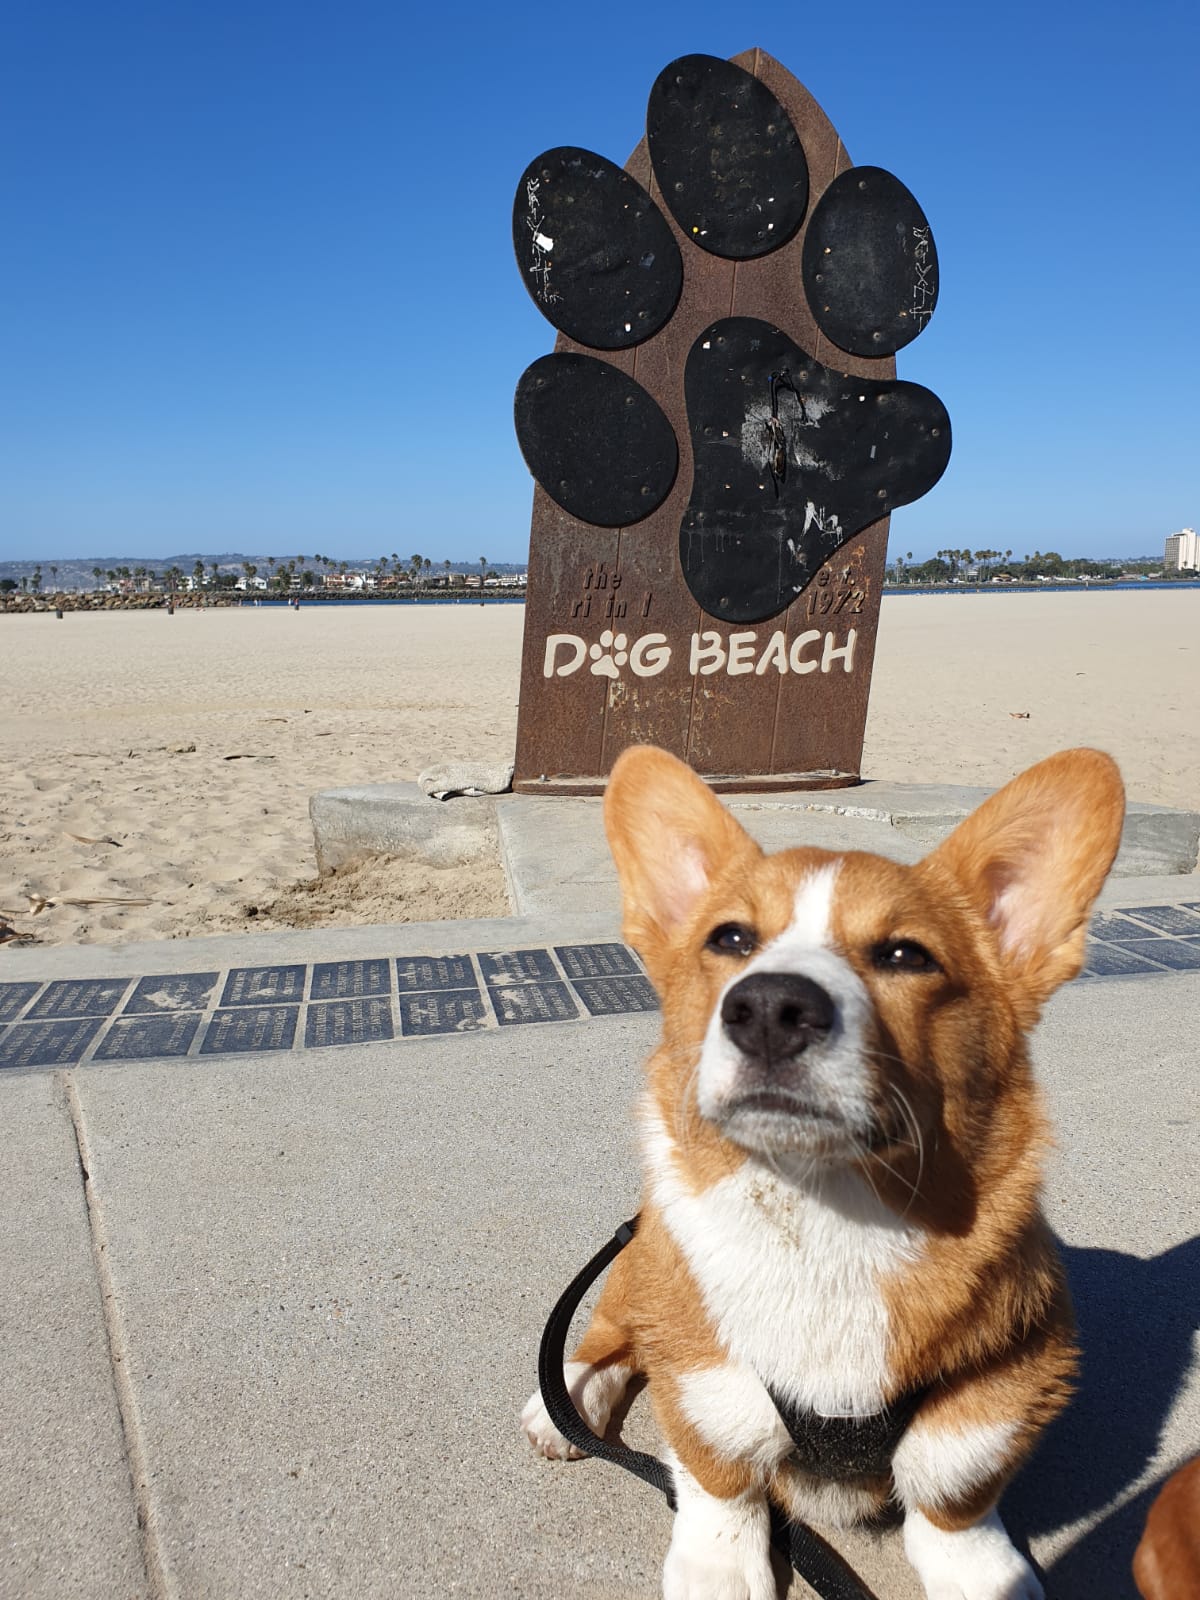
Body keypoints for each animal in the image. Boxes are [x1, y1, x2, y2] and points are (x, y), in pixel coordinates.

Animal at [524, 745, 1126, 1600]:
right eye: (730, 938)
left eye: (905, 955)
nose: (769, 1009)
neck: (823, 1214)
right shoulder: (705, 1371)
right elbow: (718, 1475)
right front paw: (719, 1562)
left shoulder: (1003, 1384)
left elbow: (955, 1499)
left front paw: (978, 1569)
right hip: (645, 1256)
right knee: (612, 1330)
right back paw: (567, 1397)